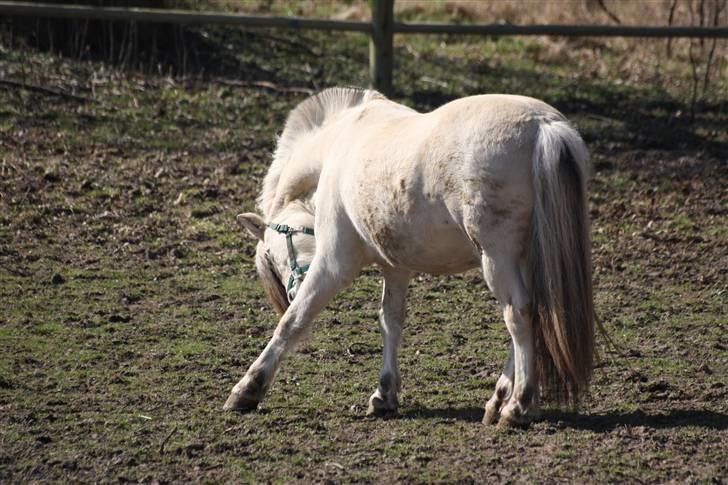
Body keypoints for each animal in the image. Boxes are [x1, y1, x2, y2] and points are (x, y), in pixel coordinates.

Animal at [229, 88, 596, 428]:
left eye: (274, 254)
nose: (292, 289)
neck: (339, 142)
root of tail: (543, 126)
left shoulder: (333, 263)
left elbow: (293, 322)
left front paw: (248, 389)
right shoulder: (396, 267)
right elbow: (390, 321)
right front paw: (384, 394)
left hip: (497, 259)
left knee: (519, 314)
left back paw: (518, 406)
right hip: (524, 258)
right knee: (531, 316)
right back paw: (501, 400)